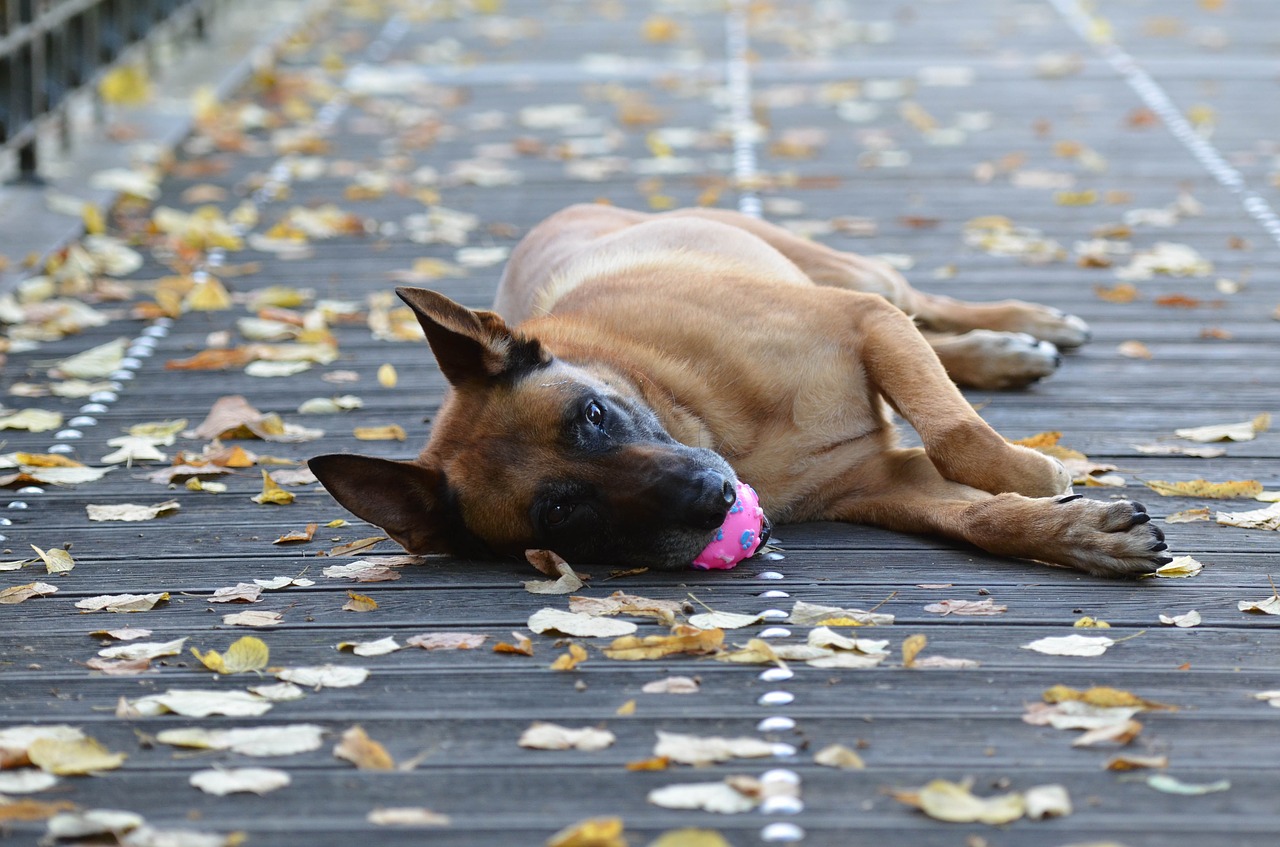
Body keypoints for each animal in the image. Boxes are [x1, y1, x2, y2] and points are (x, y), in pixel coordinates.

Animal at [309, 204, 1172, 578]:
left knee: (920, 303)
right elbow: (981, 517)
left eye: (592, 414)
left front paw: (1032, 472)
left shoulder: (864, 322)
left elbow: (958, 434)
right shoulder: (884, 482)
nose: (712, 498)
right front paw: (1080, 534)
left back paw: (1019, 329)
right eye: (562, 512)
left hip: (859, 279)